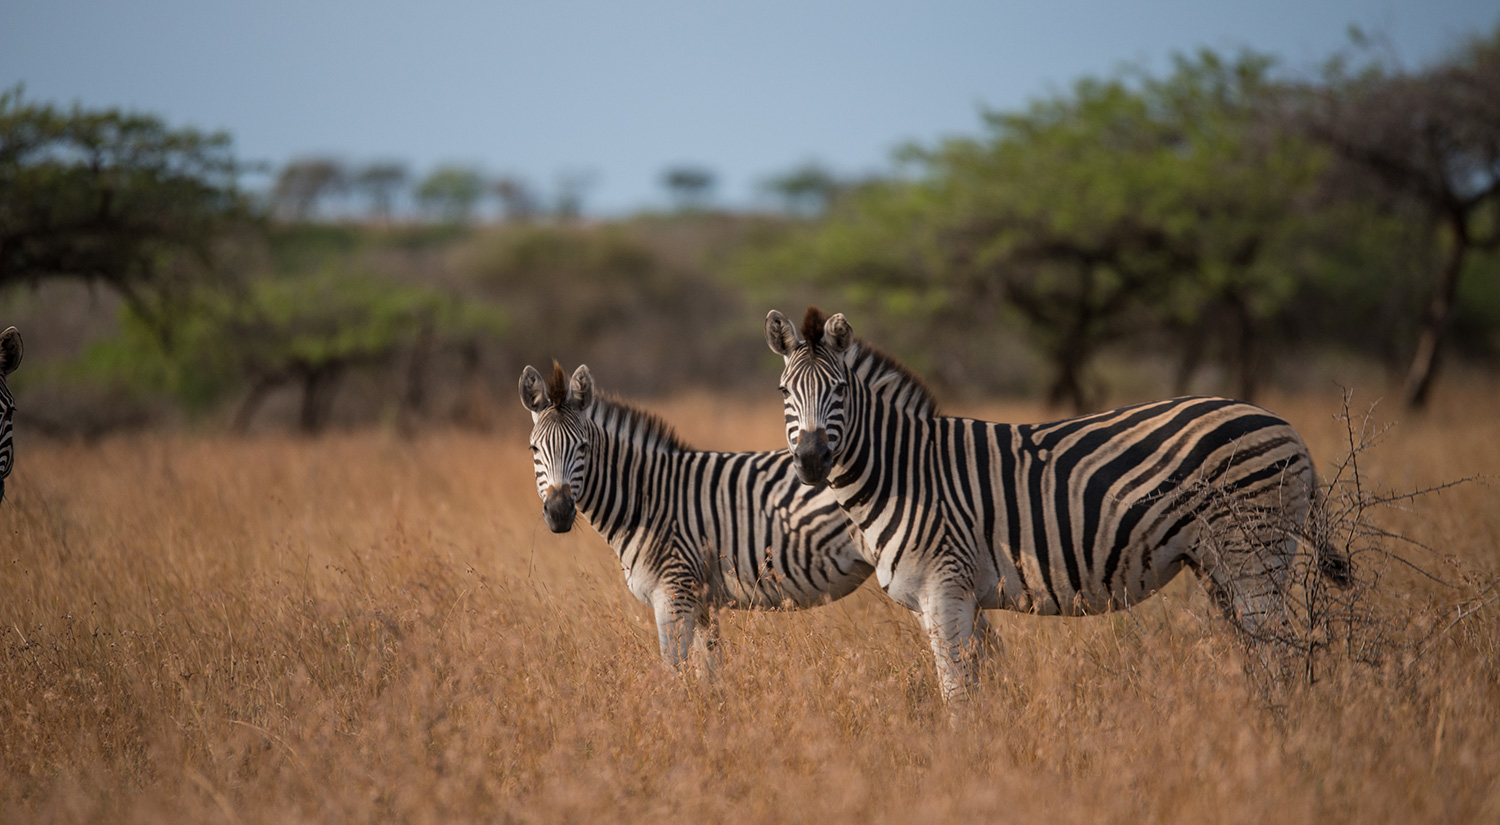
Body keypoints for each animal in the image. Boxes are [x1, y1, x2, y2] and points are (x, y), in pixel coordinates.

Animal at [520, 361, 876, 669]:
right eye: (534, 449)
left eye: (582, 447)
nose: (558, 512)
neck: (649, 499)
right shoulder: (703, 601)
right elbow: (710, 670)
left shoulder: (674, 595)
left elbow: (673, 672)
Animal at [765, 307, 1351, 700]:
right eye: (784, 392)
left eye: (840, 390)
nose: (812, 461)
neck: (903, 470)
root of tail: (1286, 425)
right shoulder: (953, 599)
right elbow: (981, 682)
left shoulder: (945, 588)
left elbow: (956, 692)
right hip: (1218, 563)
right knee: (1260, 647)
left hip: (1254, 550)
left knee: (1277, 647)